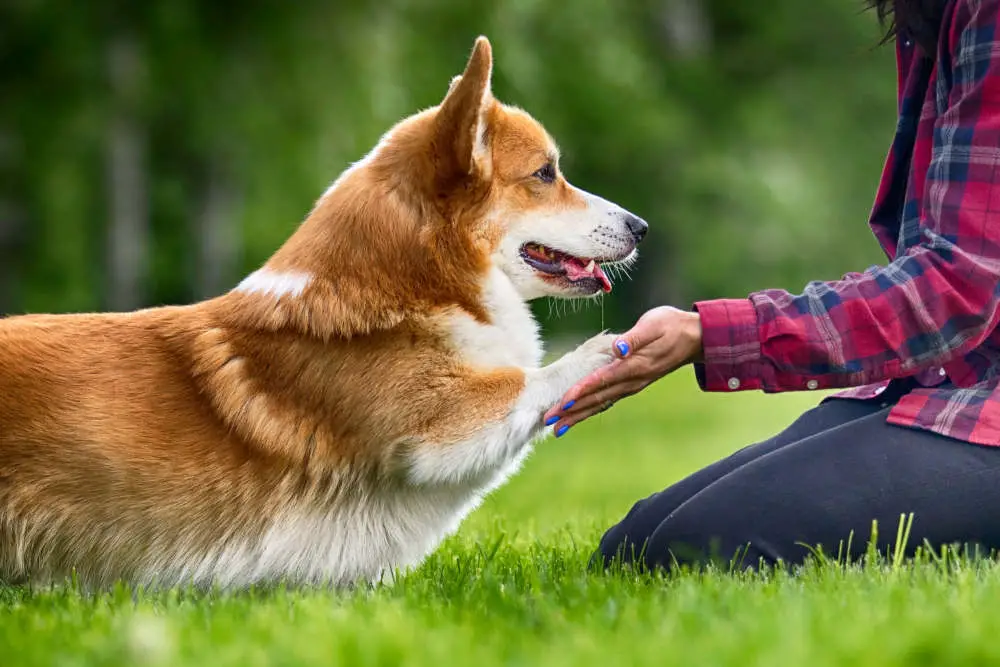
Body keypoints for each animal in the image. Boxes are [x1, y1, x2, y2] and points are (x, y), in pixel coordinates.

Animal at [0, 36, 648, 588]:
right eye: (545, 173)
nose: (641, 227)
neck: (417, 286)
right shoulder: (443, 429)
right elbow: (537, 376)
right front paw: (615, 346)